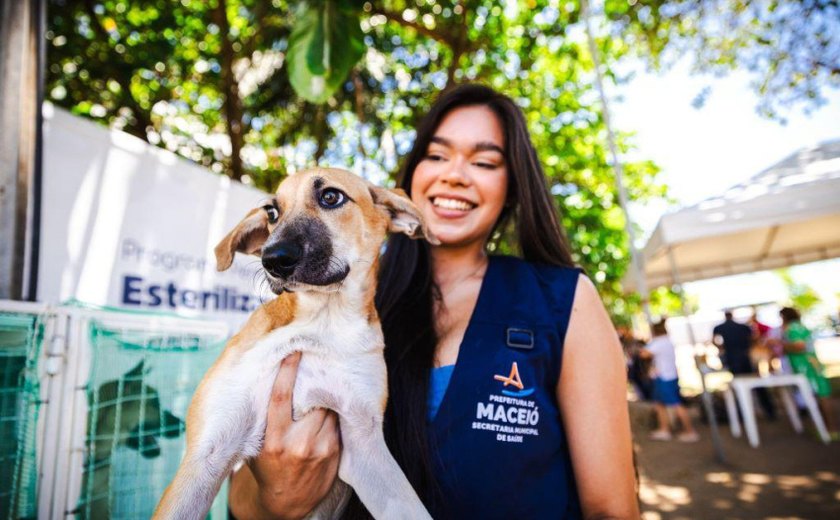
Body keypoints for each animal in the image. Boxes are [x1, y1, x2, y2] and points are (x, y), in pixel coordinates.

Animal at [152, 170, 436, 520]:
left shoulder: (365, 441)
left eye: (331, 197)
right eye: (272, 213)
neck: (322, 323)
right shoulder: (207, 452)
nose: (273, 259)